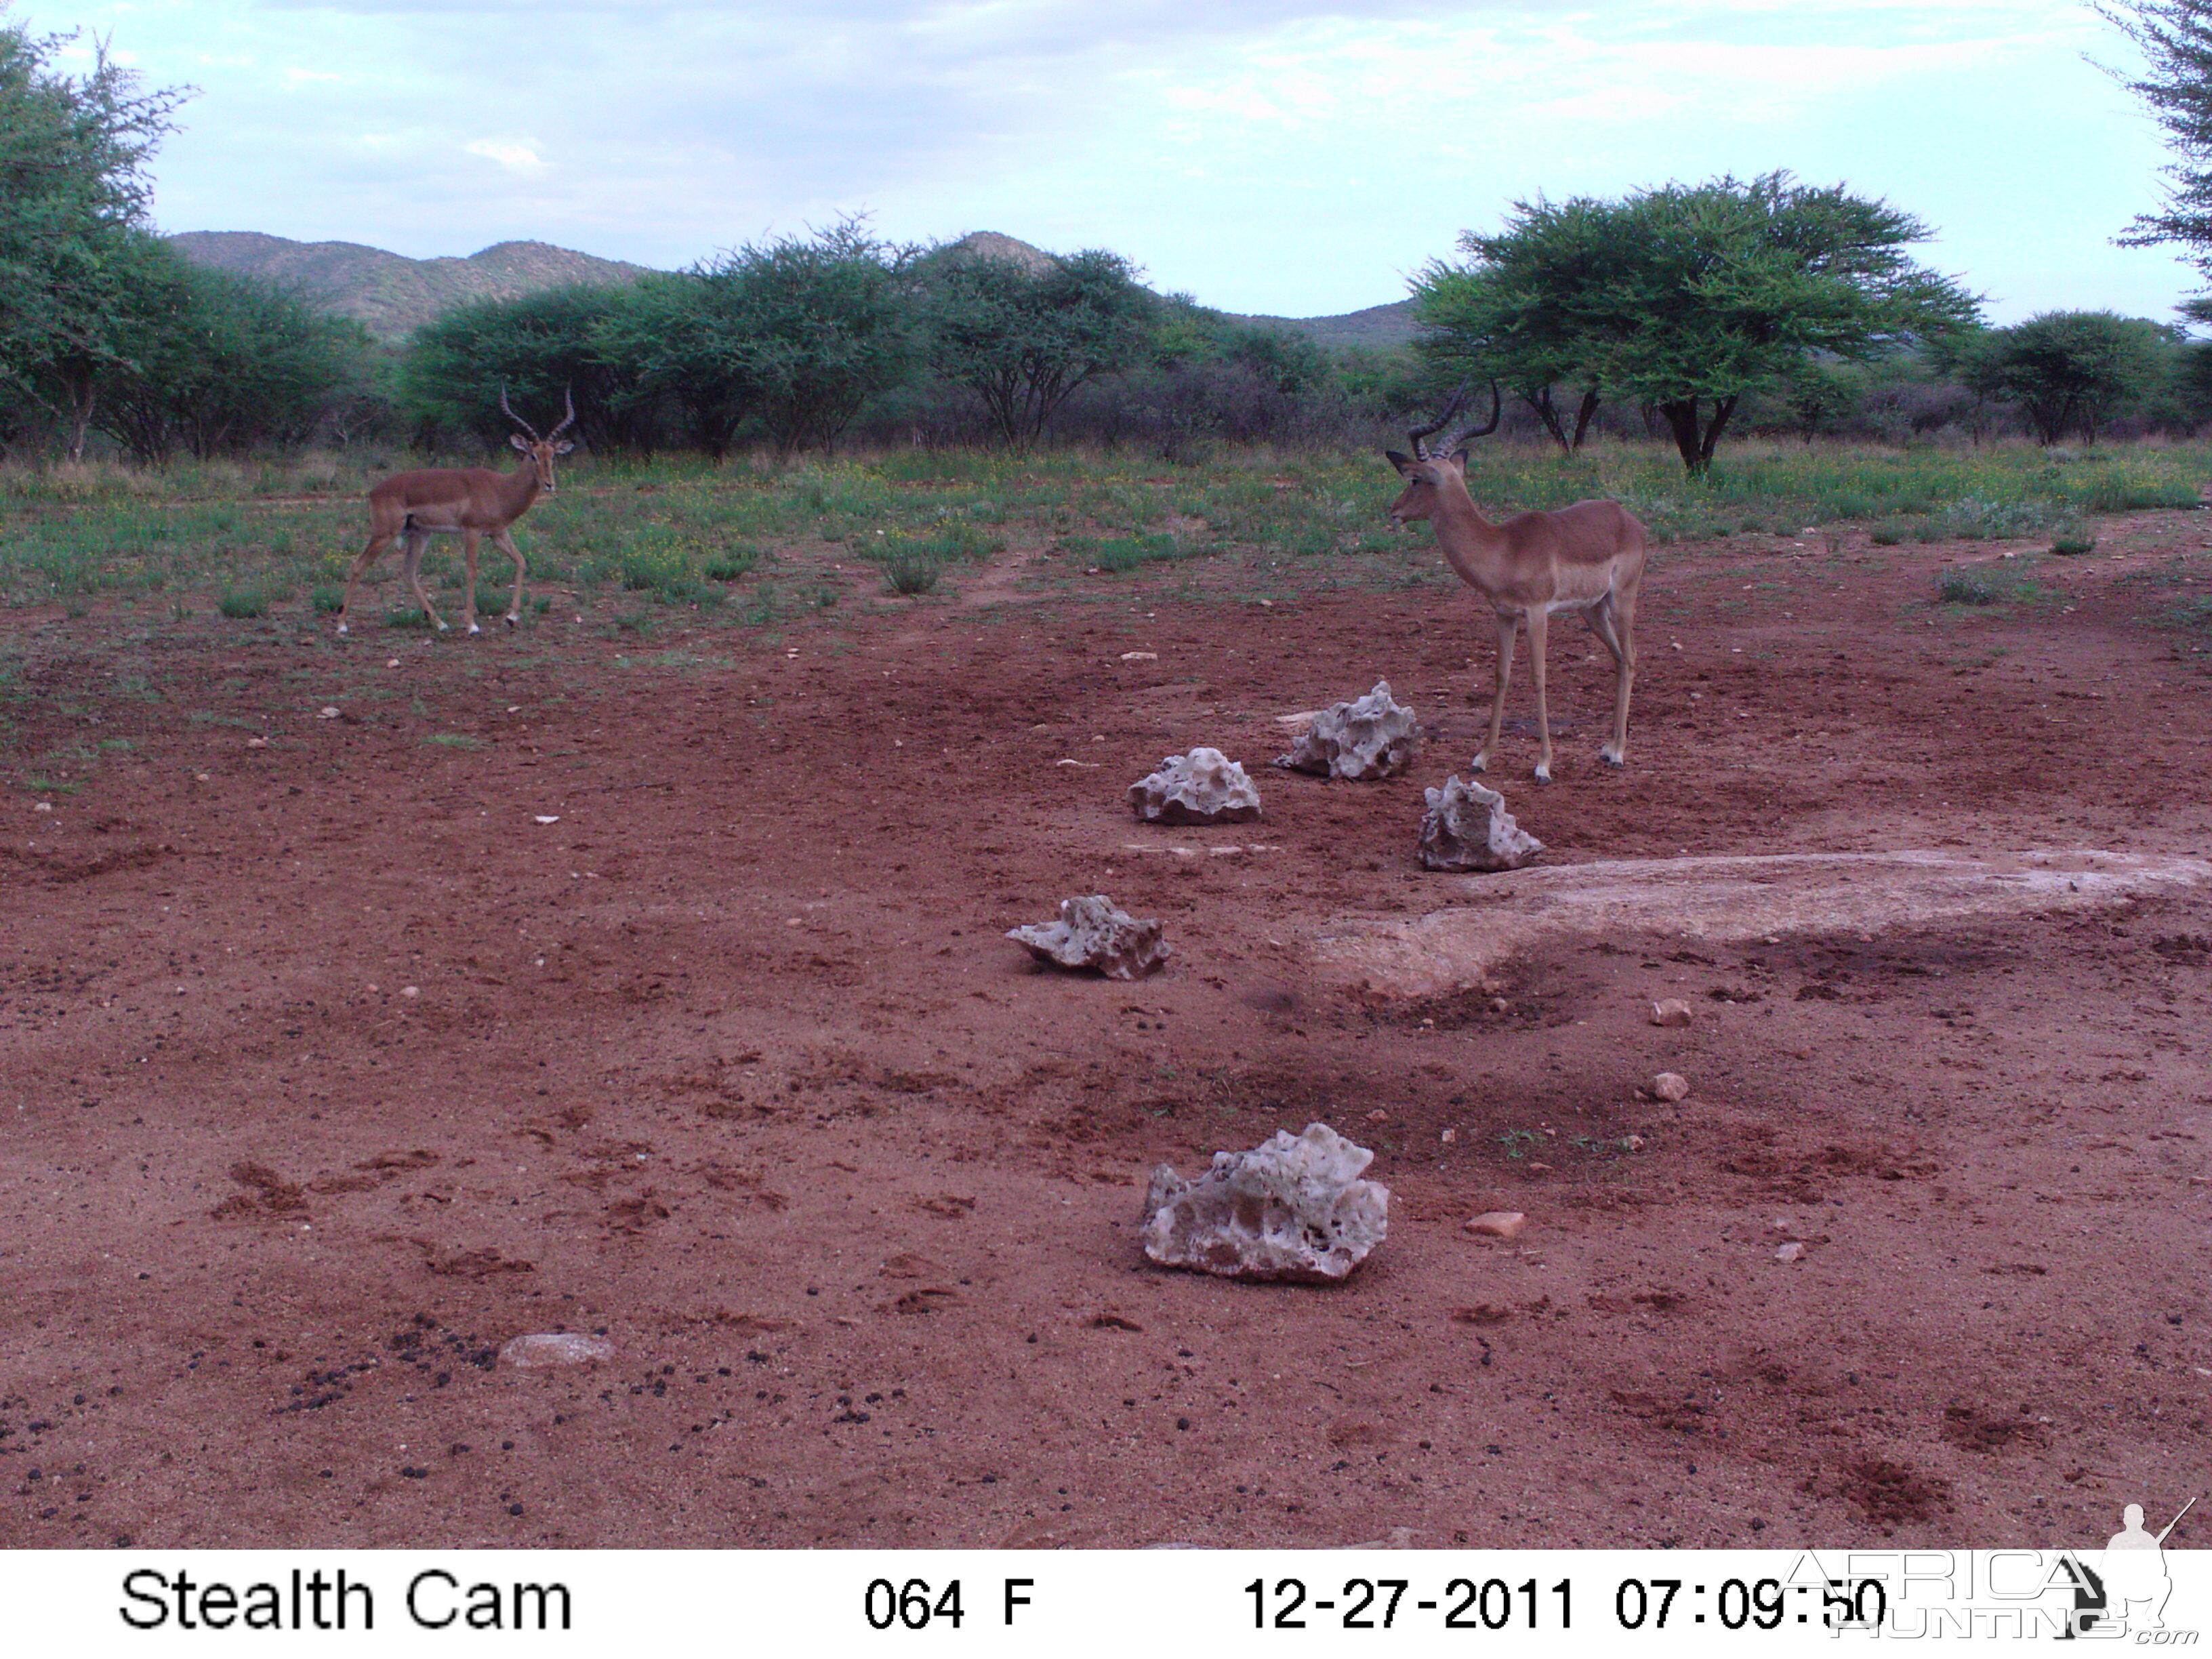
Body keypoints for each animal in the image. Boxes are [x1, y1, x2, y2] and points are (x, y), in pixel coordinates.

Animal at [333, 389, 579, 637]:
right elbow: (472, 571)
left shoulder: (498, 533)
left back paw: (440, 623)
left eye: (552, 455)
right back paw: (342, 624)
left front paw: (511, 618)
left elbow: (521, 561)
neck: (501, 488)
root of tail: (374, 492)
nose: (549, 484)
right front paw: (472, 625)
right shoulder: (472, 531)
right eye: (533, 455)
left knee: (408, 571)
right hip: (385, 534)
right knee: (358, 565)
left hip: (420, 534)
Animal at [1389, 387, 1654, 783]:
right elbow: (1501, 675)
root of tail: (1628, 519)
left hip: (1622, 599)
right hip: (1592, 610)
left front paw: (1543, 764)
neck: (1503, 547)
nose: (1394, 511)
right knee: (1620, 658)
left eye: (1415, 480)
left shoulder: (1537, 613)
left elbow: (1538, 677)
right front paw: (1482, 756)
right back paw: (1608, 748)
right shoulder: (1505, 614)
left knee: (1632, 657)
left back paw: (1620, 752)